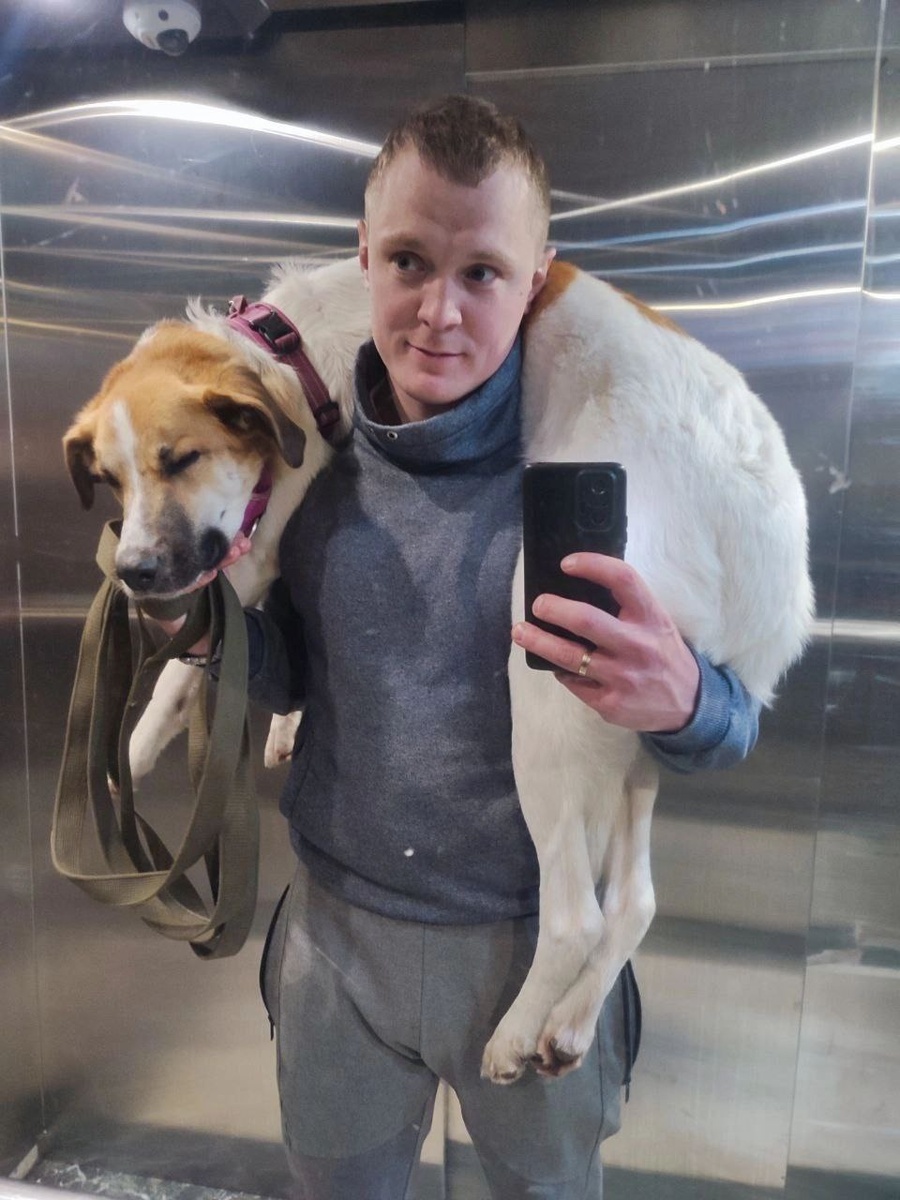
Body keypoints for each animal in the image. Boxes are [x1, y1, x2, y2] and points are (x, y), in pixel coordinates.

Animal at [63, 256, 812, 1082]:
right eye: (110, 480)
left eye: (181, 459)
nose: (133, 573)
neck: (285, 345)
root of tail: (774, 557)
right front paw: (272, 728)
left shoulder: (251, 544)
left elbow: (174, 682)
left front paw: (125, 766)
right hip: (633, 736)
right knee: (633, 903)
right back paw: (571, 1024)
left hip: (553, 677)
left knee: (575, 918)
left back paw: (514, 1035)